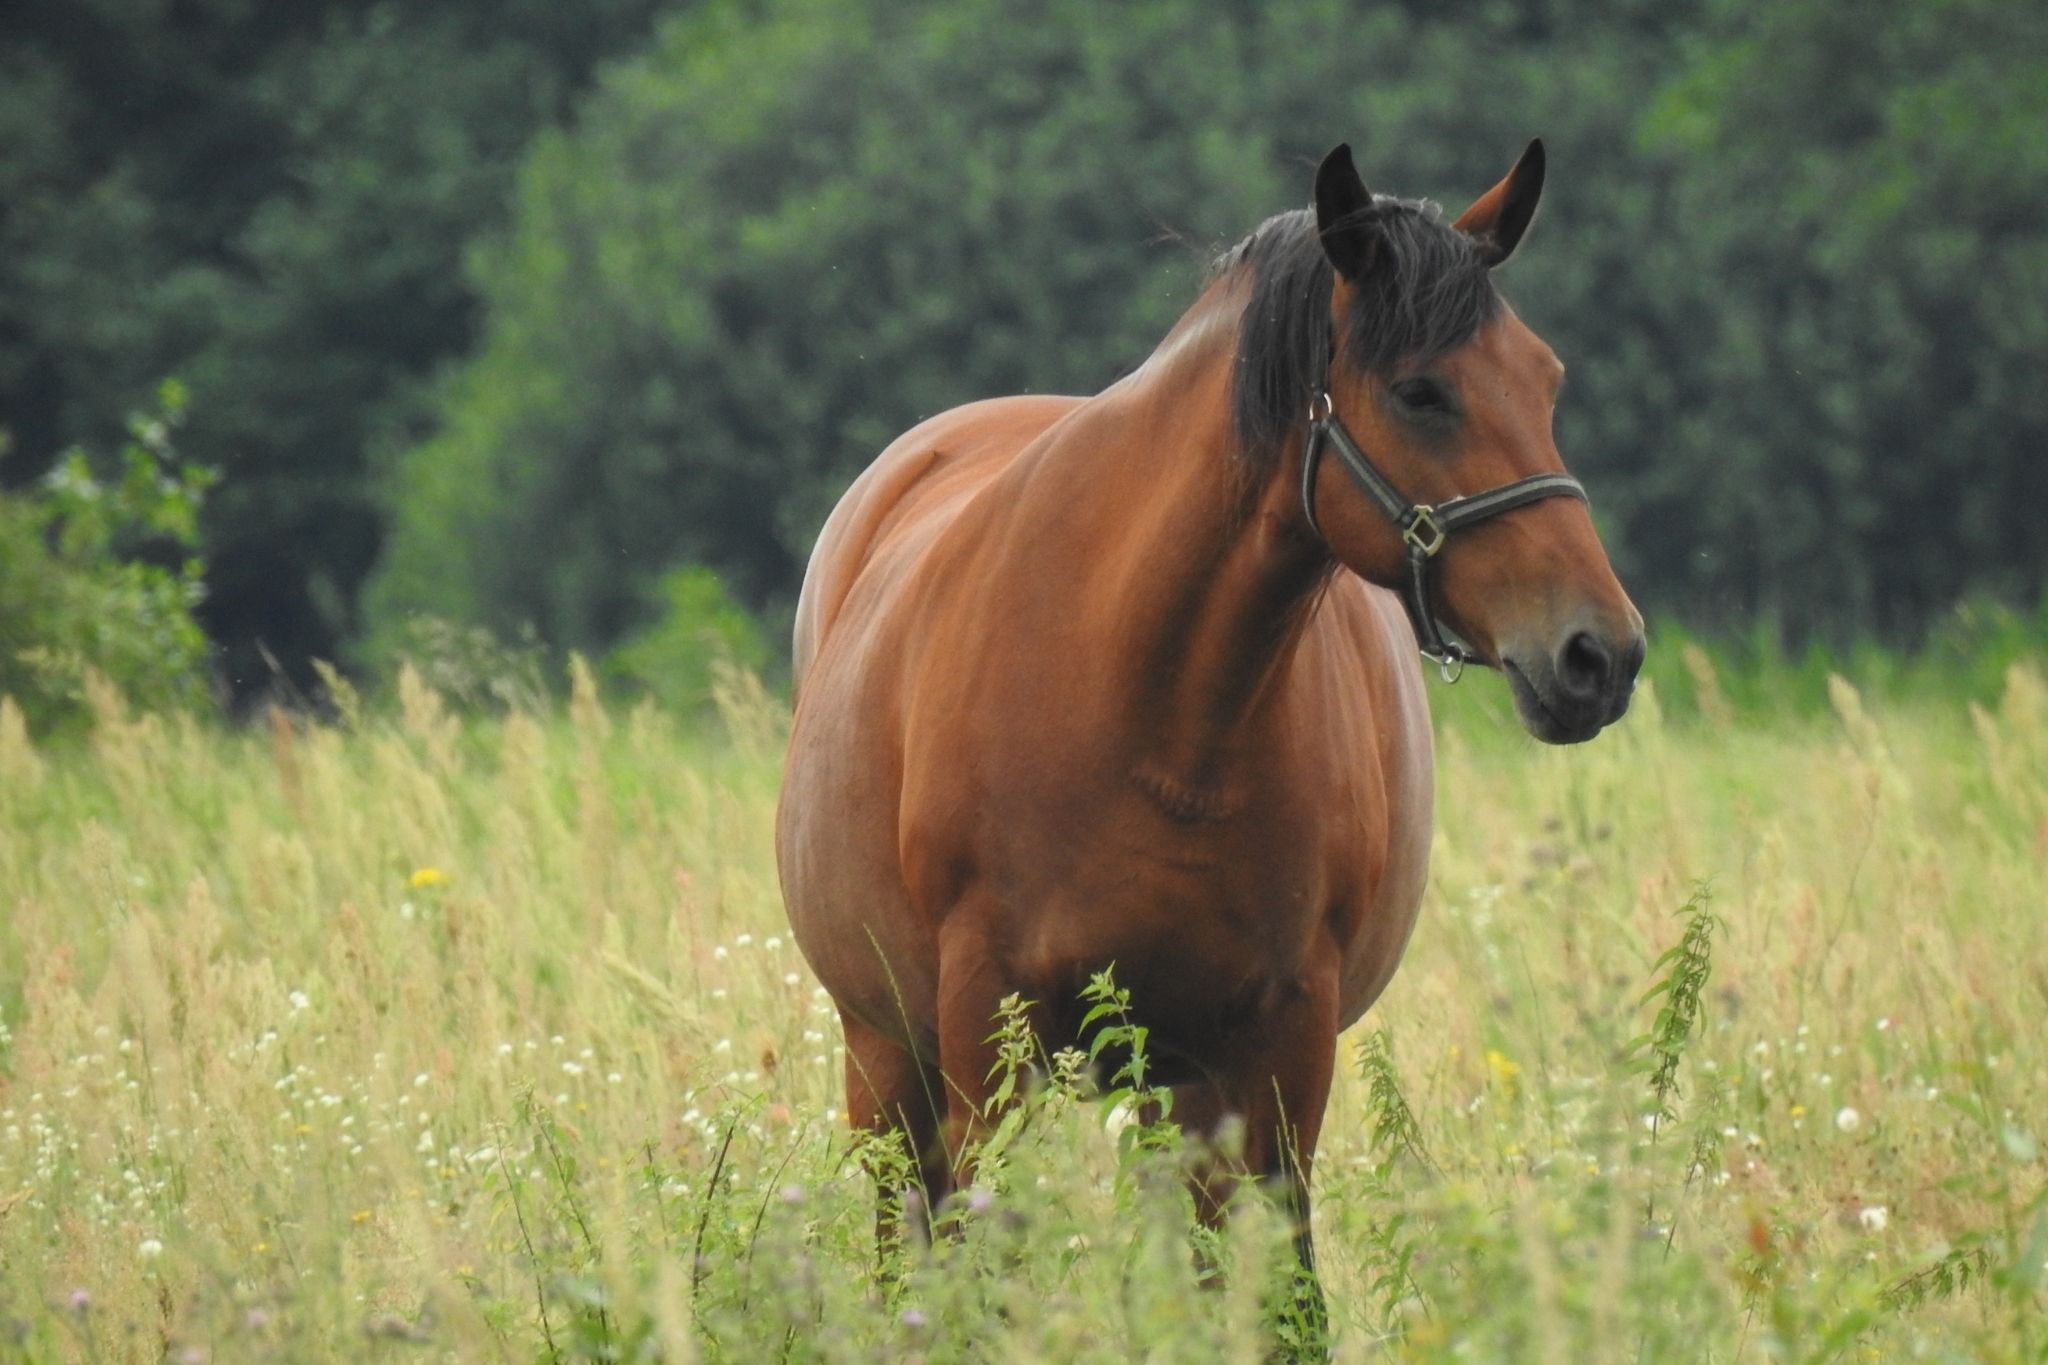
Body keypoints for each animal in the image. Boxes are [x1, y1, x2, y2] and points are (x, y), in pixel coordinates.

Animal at [770, 144, 1646, 1326]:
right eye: (1420, 391)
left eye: (1544, 379)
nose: (1598, 654)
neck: (1154, 713)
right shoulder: (984, 1031)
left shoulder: (1279, 1044)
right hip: (884, 1051)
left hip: (1165, 1080)